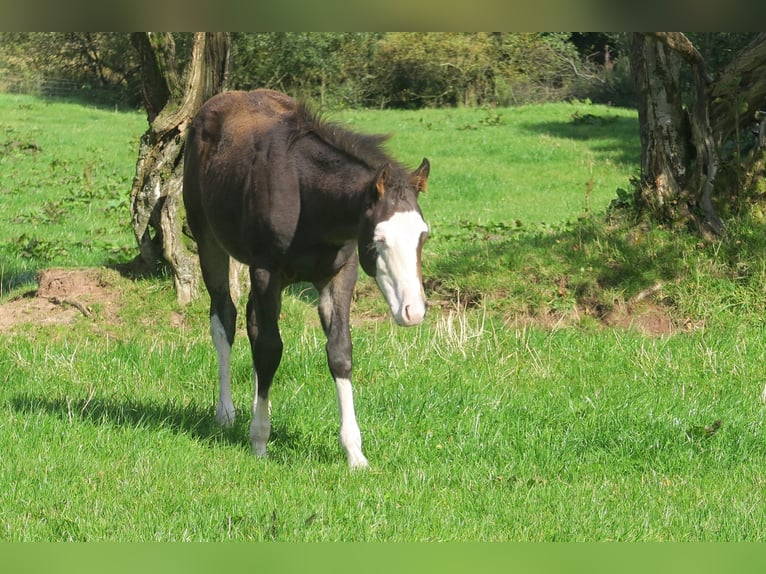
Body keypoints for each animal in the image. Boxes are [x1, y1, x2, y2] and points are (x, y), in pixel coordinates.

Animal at [182, 90, 428, 468]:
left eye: (423, 236)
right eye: (380, 239)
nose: (413, 312)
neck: (308, 197)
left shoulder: (340, 274)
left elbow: (339, 351)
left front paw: (355, 452)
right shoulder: (266, 270)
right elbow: (270, 348)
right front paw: (259, 441)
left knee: (253, 322)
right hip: (208, 239)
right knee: (225, 317)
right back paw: (226, 413)